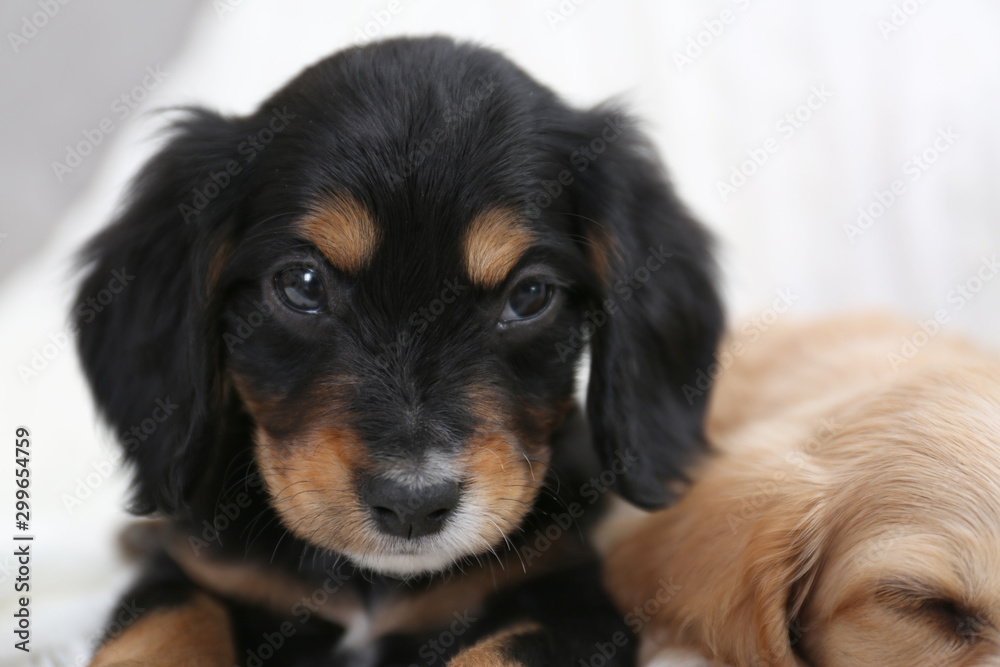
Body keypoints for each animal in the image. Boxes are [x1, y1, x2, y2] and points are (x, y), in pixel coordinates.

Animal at [74, 37, 724, 667]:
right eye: (302, 285)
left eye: (530, 294)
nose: (414, 505)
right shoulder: (195, 571)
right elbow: (166, 626)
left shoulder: (574, 603)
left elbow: (506, 651)